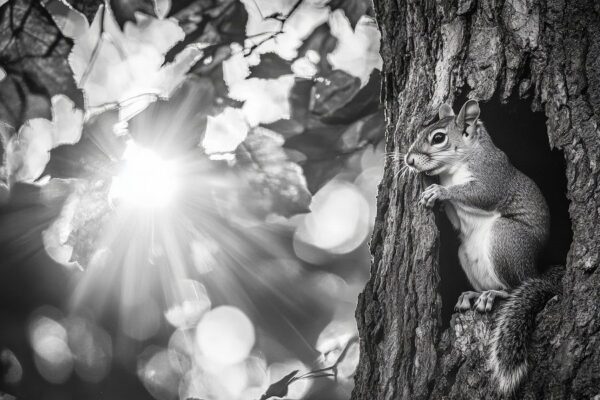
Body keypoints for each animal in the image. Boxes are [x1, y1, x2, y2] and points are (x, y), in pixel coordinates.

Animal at [404, 99, 564, 394]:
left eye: (438, 138)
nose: (409, 160)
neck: (456, 166)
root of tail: (536, 271)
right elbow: (457, 220)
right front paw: (436, 196)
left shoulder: (492, 176)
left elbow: (479, 194)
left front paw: (439, 192)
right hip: (466, 253)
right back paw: (473, 294)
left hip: (505, 240)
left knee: (514, 286)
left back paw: (494, 295)